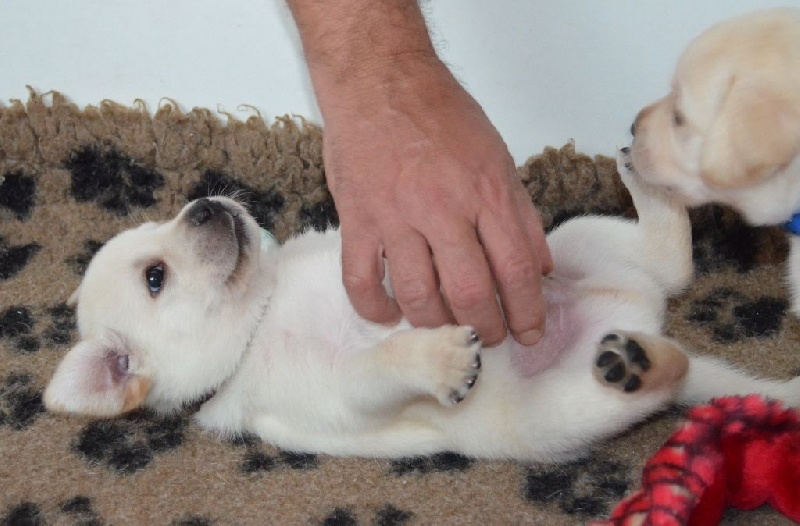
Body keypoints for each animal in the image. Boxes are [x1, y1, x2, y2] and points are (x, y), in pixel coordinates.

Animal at [44, 151, 800, 462]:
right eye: (156, 277)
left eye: (165, 223)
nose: (206, 203)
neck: (262, 314)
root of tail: (635, 314)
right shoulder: (334, 395)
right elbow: (378, 365)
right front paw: (438, 357)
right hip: (554, 414)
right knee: (664, 357)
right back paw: (637, 362)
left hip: (567, 243)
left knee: (672, 263)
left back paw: (649, 177)